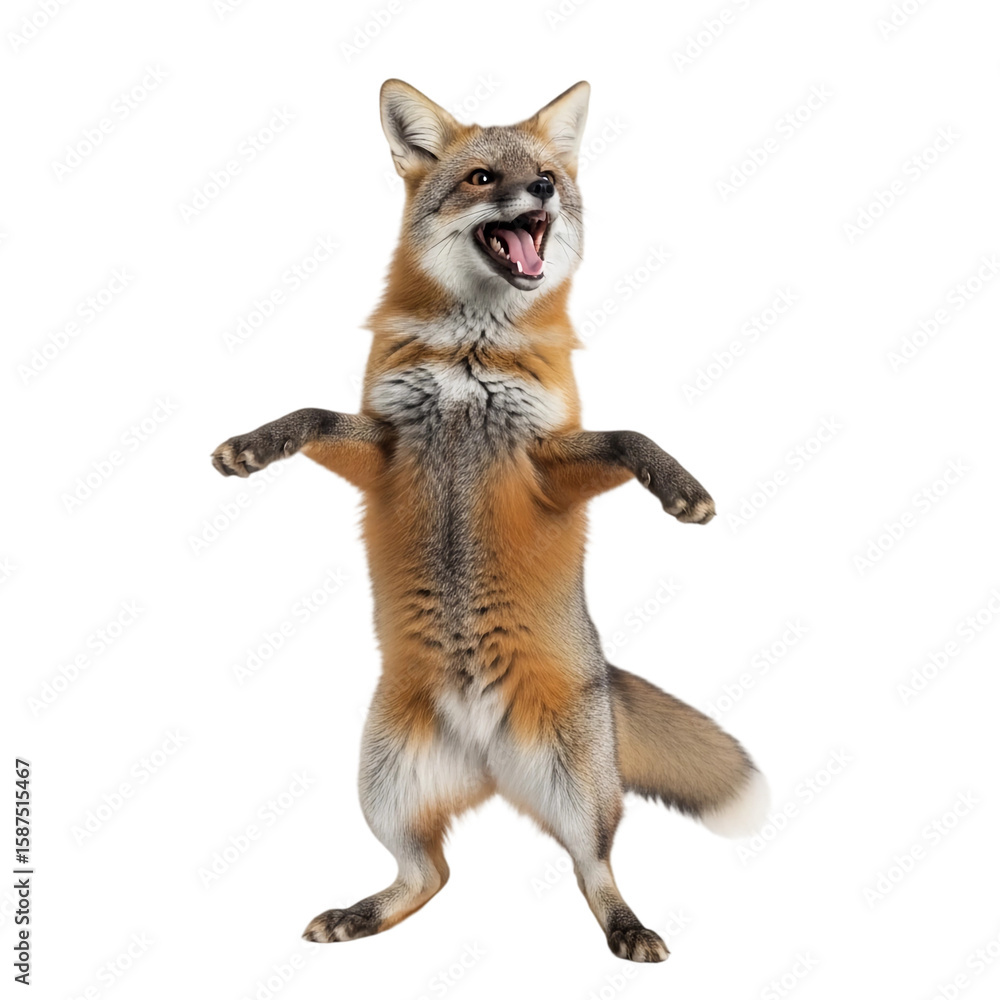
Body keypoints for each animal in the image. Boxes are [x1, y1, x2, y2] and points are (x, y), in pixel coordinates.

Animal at [211, 79, 769, 963]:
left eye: (547, 174)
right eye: (481, 178)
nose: (540, 189)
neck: (469, 358)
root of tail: (488, 760)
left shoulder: (547, 464)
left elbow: (630, 435)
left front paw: (680, 488)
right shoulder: (388, 450)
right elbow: (310, 415)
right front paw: (254, 446)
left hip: (580, 790)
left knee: (591, 867)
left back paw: (628, 928)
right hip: (382, 783)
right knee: (430, 875)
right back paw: (360, 916)